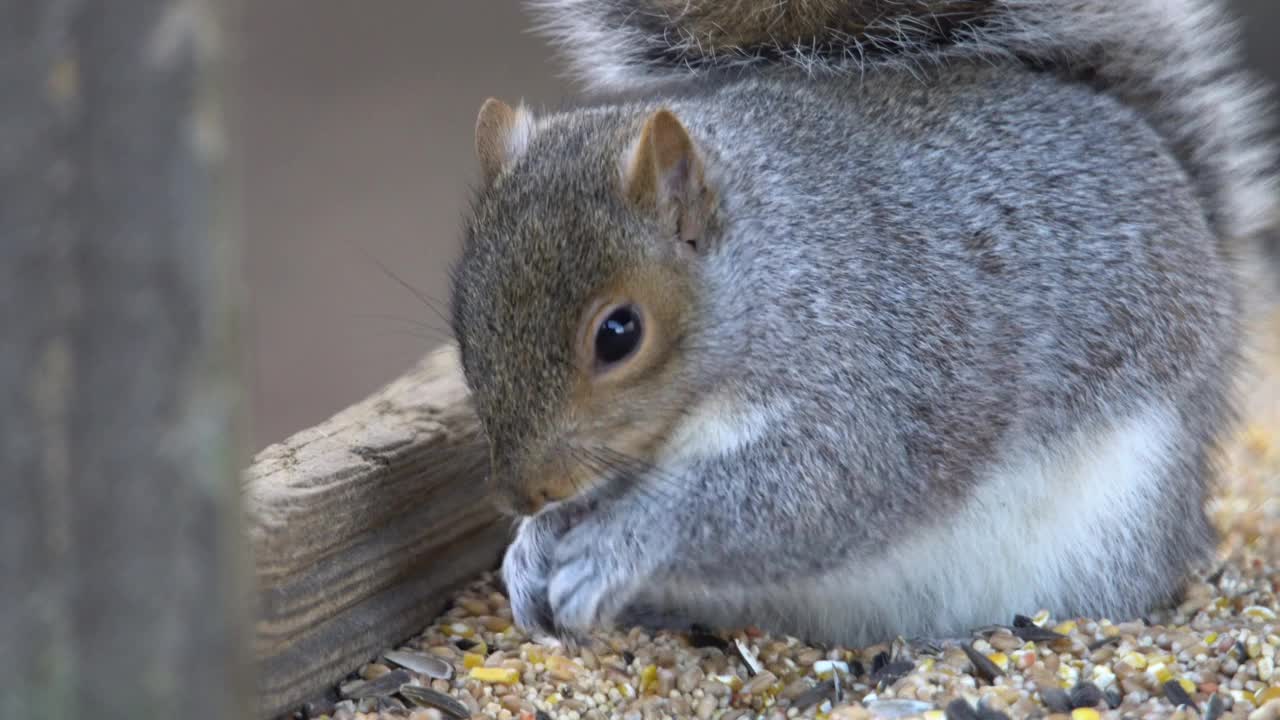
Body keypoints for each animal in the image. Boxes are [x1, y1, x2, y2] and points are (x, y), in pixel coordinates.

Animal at [448, 0, 1280, 640]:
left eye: (619, 334)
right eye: (463, 320)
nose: (523, 495)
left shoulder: (879, 369)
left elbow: (816, 492)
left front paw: (615, 546)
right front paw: (532, 549)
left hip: (1116, 517)